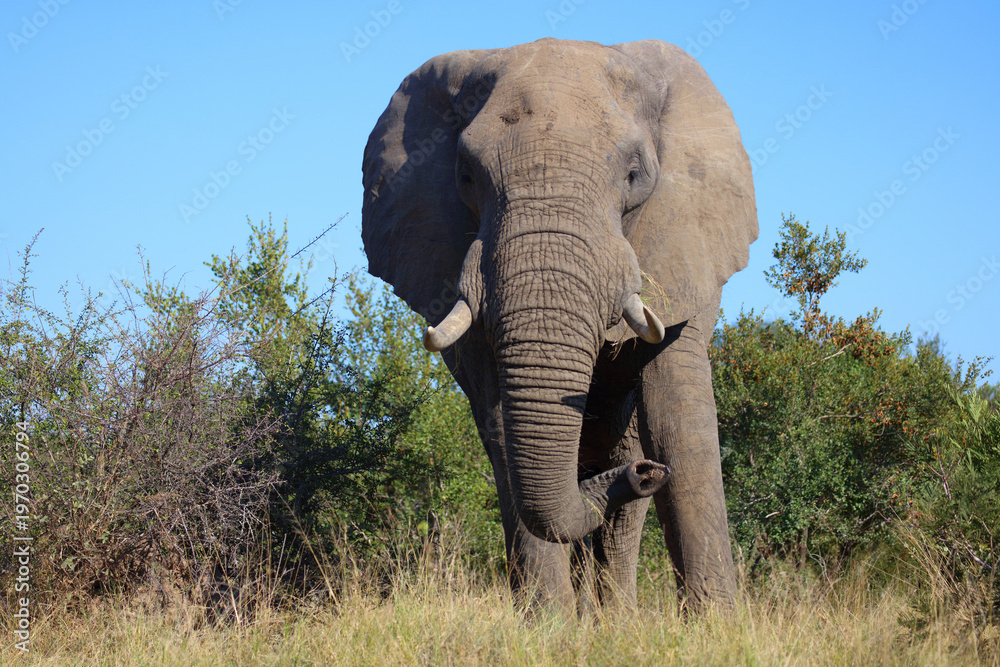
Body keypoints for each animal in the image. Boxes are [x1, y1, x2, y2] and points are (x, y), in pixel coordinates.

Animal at [361, 38, 757, 613]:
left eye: (634, 174)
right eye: (466, 176)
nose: (647, 475)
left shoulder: (686, 243)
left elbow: (677, 416)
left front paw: (719, 626)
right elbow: (503, 427)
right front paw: (548, 624)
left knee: (621, 496)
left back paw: (615, 618)